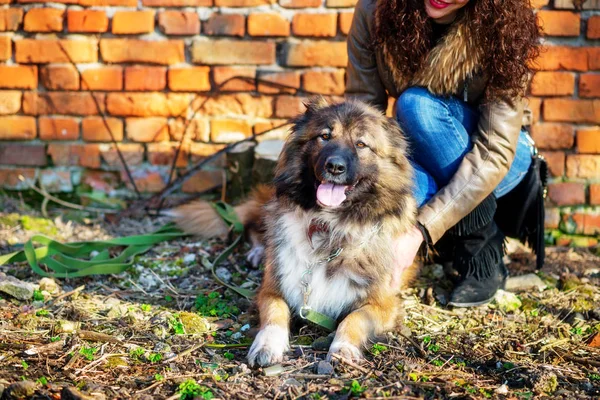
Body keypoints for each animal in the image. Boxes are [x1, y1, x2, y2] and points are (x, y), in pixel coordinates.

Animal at [172, 98, 418, 368]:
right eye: (325, 136)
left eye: (361, 144)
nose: (334, 166)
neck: (329, 226)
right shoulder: (272, 288)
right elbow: (274, 315)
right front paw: (267, 345)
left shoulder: (382, 304)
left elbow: (353, 319)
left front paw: (343, 347)